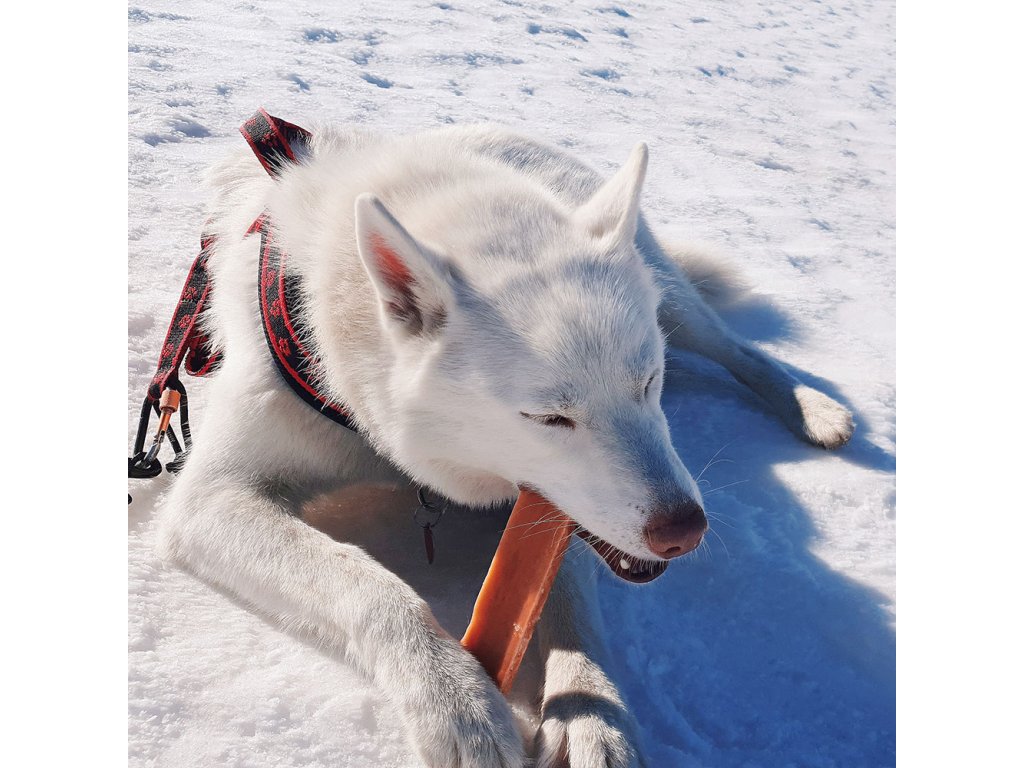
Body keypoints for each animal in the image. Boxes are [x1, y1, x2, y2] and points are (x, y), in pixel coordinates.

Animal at [154, 118, 854, 768]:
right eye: (550, 419)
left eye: (648, 383)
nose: (685, 530)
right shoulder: (211, 499)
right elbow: (366, 582)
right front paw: (456, 702)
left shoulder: (556, 509)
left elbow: (569, 605)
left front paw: (593, 711)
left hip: (670, 297)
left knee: (738, 348)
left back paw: (815, 409)